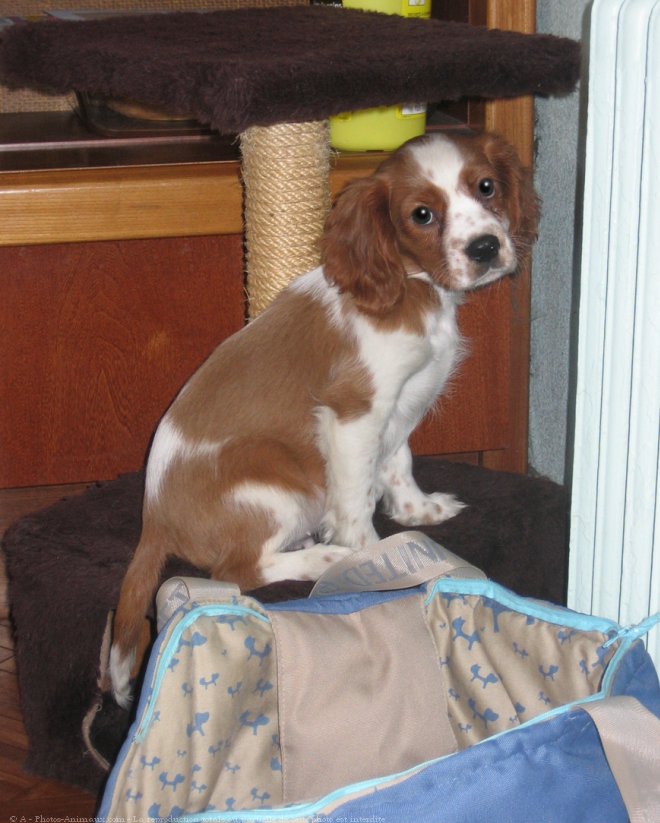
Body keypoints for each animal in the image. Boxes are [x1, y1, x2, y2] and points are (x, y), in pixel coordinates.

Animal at [111, 130, 540, 708]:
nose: (485, 248)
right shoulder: (354, 411)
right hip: (272, 482)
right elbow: (355, 501)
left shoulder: (397, 405)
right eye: (422, 215)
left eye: (487, 186)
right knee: (239, 570)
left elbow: (398, 462)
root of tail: (153, 520)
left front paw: (417, 512)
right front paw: (370, 559)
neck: (413, 288)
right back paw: (324, 558)